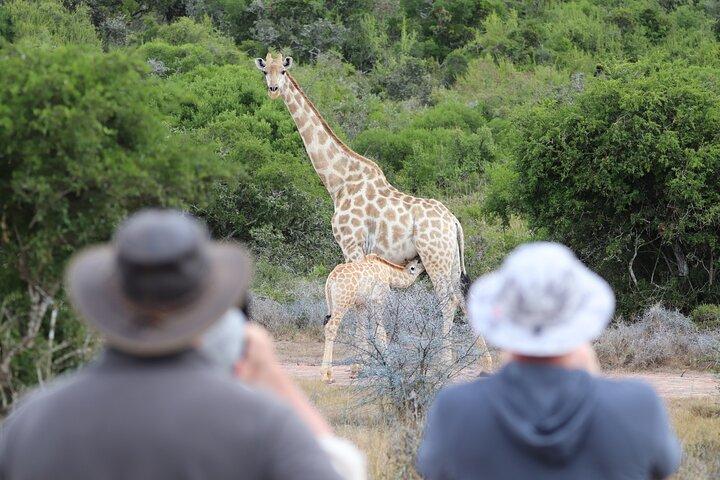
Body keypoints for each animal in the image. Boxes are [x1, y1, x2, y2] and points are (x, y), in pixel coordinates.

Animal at [322, 254, 424, 382]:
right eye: (416, 264)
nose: (424, 266)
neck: (389, 274)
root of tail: (331, 279)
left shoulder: (360, 305)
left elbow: (360, 332)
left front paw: (357, 369)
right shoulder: (378, 300)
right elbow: (381, 332)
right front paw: (388, 365)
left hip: (332, 304)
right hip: (342, 303)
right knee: (331, 328)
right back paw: (327, 375)